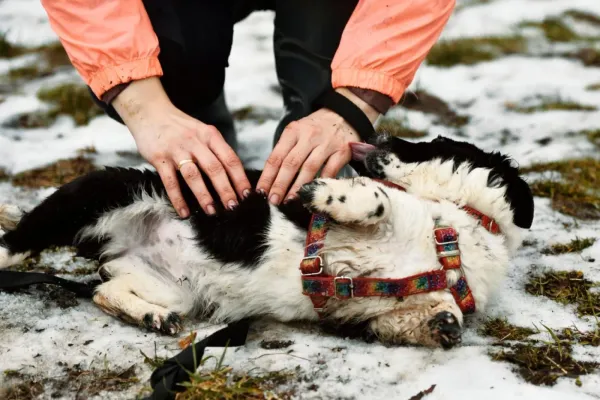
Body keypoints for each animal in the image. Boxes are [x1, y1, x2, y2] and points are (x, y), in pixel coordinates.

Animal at [0, 136, 536, 348]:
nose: (379, 137)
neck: (465, 226)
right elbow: (376, 202)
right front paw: (326, 191)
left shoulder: (379, 306)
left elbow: (436, 316)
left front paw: (440, 325)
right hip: (98, 195)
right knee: (18, 238)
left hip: (170, 286)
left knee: (104, 288)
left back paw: (152, 317)